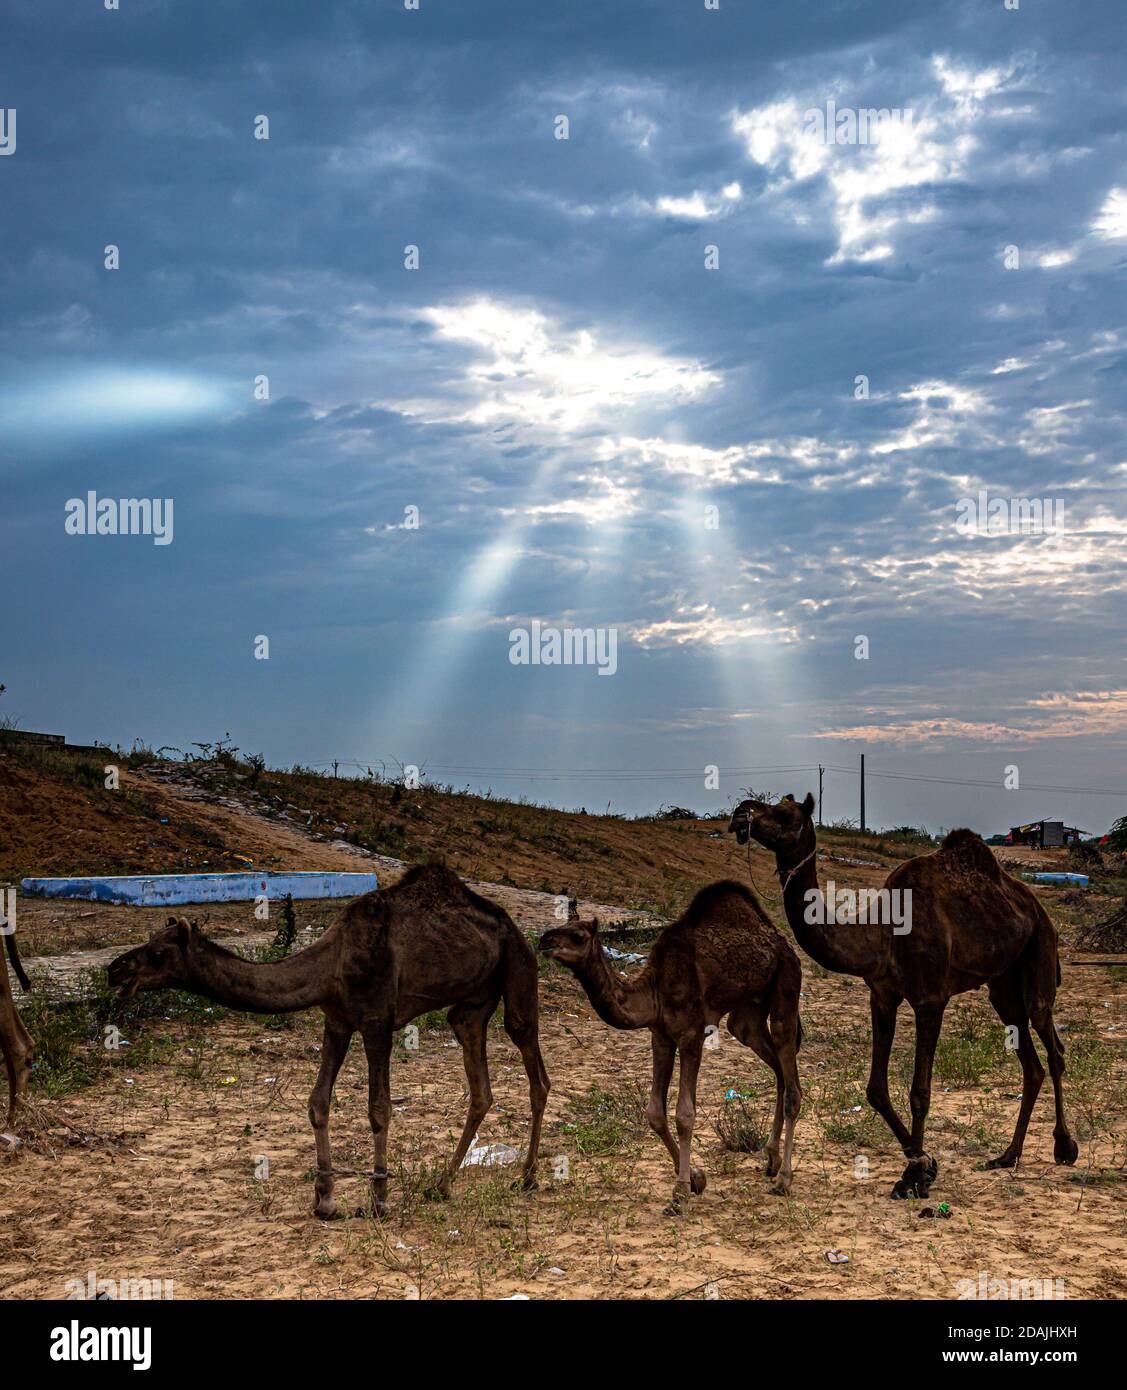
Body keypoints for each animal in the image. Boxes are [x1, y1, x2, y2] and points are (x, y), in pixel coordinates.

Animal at [107, 861, 550, 1223]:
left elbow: (379, 1109)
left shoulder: (376, 1020)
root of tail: (514, 927)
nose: (114, 970)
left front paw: (378, 1199)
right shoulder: (336, 1020)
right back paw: (440, 1185)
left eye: (158, 952)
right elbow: (317, 1101)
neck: (331, 963)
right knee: (479, 1082)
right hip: (472, 1003)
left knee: (533, 1065)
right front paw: (324, 1200)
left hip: (518, 966)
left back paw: (526, 1178)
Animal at [539, 884, 800, 1212]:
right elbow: (655, 1113)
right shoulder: (661, 1037)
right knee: (777, 1069)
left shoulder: (691, 1035)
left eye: (577, 936)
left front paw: (680, 1193)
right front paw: (696, 1178)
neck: (654, 990)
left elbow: (684, 1115)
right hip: (747, 1015)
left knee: (791, 1079)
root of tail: (782, 943)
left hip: (786, 983)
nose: (544, 941)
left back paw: (784, 1180)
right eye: (559, 927)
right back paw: (772, 1160)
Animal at [728, 795, 1078, 1195]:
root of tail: (1034, 904)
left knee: (1051, 1042)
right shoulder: (882, 995)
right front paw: (924, 1163)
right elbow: (876, 1089)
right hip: (1003, 985)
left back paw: (1065, 1146)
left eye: (784, 813)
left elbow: (919, 1093)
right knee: (1030, 1060)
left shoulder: (931, 999)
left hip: (1040, 947)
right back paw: (1007, 1155)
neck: (882, 933)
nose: (740, 812)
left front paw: (914, 1176)